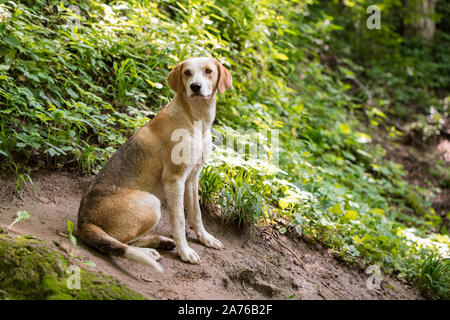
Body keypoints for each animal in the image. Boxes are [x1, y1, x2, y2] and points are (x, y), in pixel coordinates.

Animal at [77, 56, 232, 272]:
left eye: (208, 71)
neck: (196, 120)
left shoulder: (192, 179)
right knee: (118, 243)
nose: (195, 86)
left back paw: (159, 243)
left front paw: (205, 238)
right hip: (152, 203)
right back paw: (149, 251)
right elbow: (179, 220)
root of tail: (83, 221)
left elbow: (196, 214)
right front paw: (185, 252)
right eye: (187, 73)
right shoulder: (175, 179)